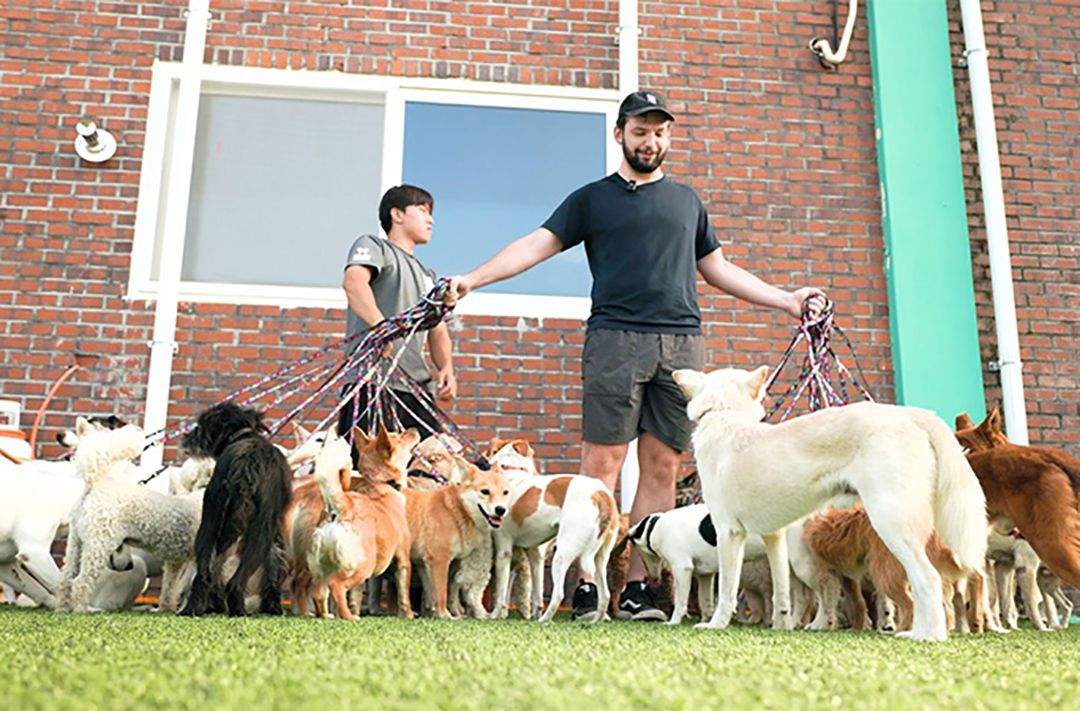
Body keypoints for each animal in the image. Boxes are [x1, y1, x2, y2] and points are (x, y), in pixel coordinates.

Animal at [179, 401, 293, 613]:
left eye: (200, 427)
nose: (186, 437)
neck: (242, 435)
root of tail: (245, 465)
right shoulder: (274, 530)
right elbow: (273, 564)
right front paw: (272, 606)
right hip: (260, 532)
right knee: (236, 581)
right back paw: (238, 610)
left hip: (210, 521)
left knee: (205, 574)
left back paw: (195, 608)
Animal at [282, 423, 416, 618]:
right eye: (398, 436)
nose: (414, 429)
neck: (379, 483)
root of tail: (341, 508)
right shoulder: (403, 559)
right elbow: (404, 593)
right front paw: (408, 615)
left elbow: (355, 596)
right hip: (363, 566)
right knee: (334, 585)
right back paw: (347, 617)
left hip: (321, 565)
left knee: (318, 592)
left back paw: (327, 615)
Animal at [486, 436, 622, 622]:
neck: (511, 470)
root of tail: (600, 493)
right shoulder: (535, 554)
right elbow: (537, 594)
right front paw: (533, 613)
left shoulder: (504, 552)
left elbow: (500, 593)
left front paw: (494, 615)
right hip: (600, 557)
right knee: (605, 595)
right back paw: (594, 621)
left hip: (563, 553)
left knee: (558, 594)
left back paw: (544, 620)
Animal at [669, 365, 989, 644]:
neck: (725, 416)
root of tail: (910, 414)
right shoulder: (774, 537)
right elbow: (782, 594)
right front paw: (782, 626)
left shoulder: (728, 532)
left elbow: (726, 590)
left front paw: (715, 625)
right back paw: (915, 632)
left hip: (890, 524)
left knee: (927, 579)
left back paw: (929, 636)